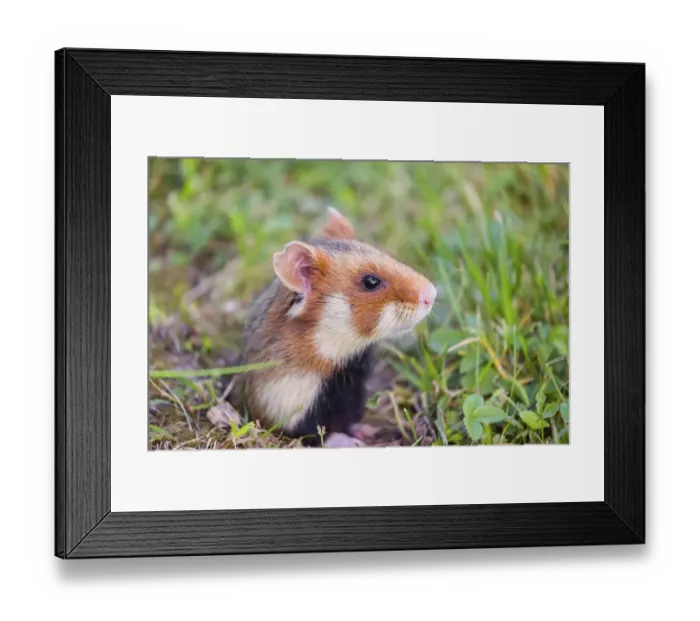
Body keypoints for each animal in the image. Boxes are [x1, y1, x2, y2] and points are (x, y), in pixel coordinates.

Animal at [229, 208, 437, 448]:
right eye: (371, 282)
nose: (432, 294)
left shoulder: (350, 392)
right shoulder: (292, 404)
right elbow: (320, 433)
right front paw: (352, 442)